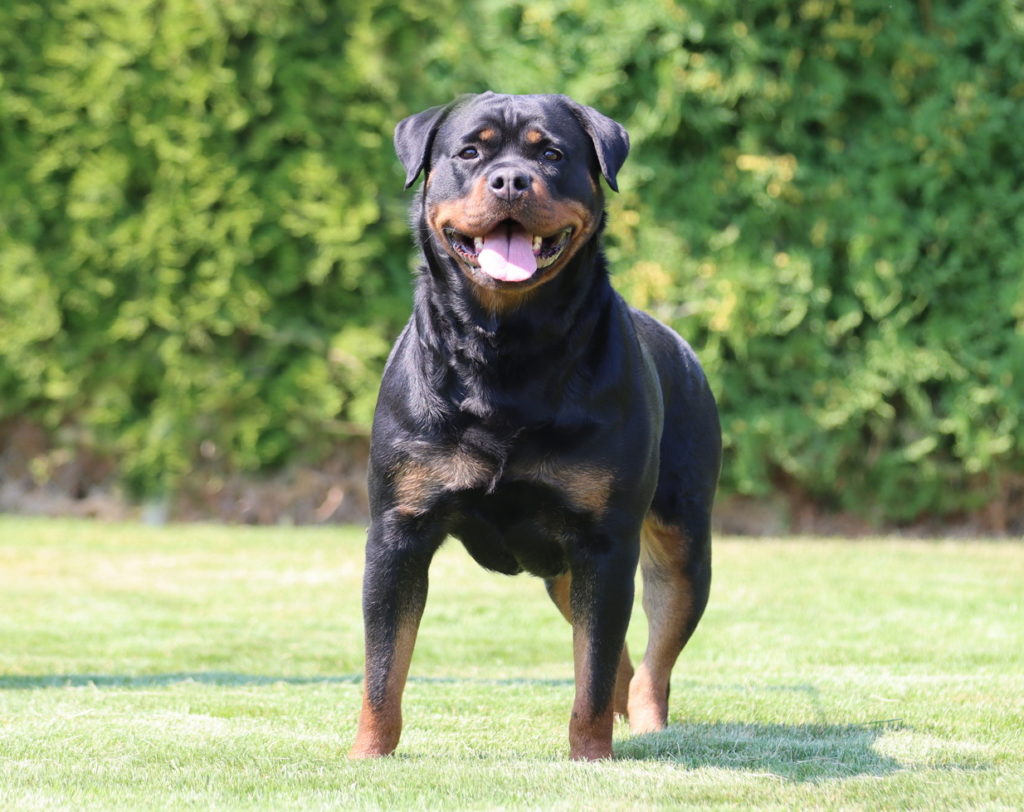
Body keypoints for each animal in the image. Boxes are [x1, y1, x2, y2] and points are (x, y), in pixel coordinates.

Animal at [350, 95, 720, 761]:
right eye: (471, 151)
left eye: (551, 153)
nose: (511, 180)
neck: (507, 352)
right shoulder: (398, 532)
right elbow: (384, 665)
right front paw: (368, 754)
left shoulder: (605, 541)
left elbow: (591, 673)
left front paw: (591, 757)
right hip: (566, 576)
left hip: (681, 549)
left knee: (652, 659)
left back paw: (647, 724)